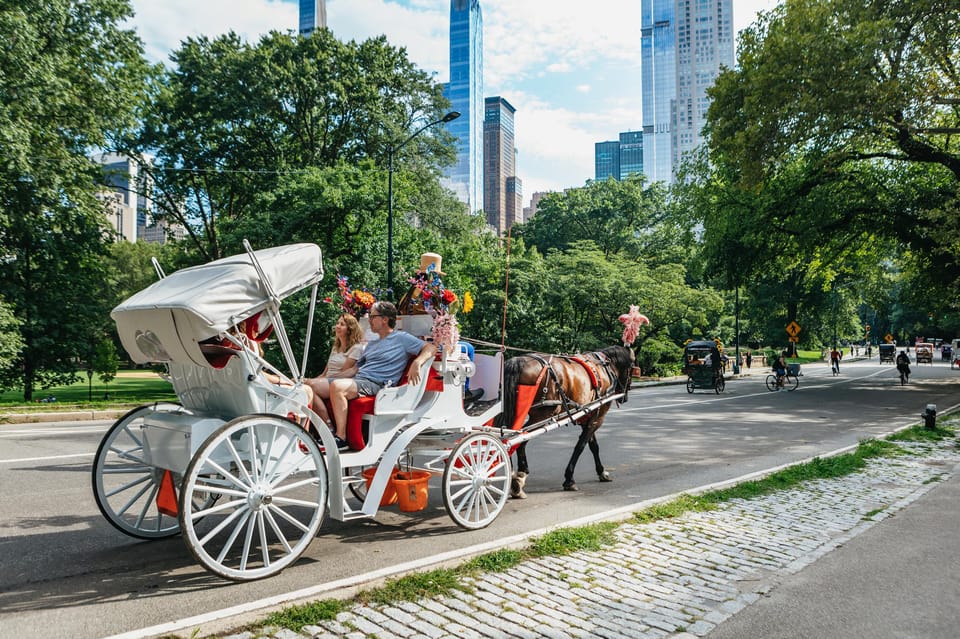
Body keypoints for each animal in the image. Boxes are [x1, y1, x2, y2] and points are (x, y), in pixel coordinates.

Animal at [498, 348, 632, 498]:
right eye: (632, 368)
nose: (624, 398)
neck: (604, 366)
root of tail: (517, 361)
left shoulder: (589, 417)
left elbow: (593, 446)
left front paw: (601, 472)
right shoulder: (597, 418)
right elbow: (581, 446)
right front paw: (569, 479)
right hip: (541, 414)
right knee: (519, 439)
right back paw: (519, 476)